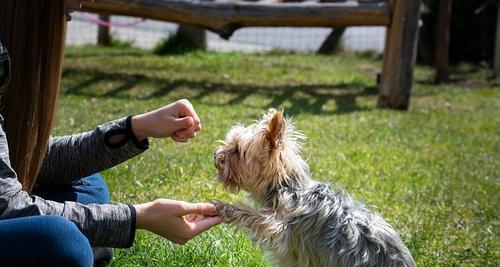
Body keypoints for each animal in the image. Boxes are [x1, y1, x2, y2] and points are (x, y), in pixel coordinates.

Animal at [213, 109, 416, 267]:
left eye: (237, 151)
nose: (215, 155)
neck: (287, 187)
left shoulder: (276, 227)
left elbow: (249, 214)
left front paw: (223, 206)